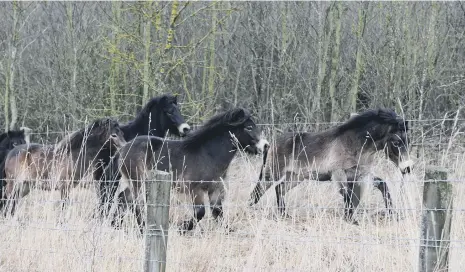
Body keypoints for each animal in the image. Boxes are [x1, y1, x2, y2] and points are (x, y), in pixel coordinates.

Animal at [107, 107, 270, 233]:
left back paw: (116, 225)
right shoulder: (195, 190)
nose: (266, 145)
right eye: (248, 127)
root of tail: (123, 149)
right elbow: (200, 212)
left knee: (123, 198)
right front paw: (182, 228)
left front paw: (227, 231)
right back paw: (142, 229)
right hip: (138, 182)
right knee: (136, 204)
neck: (208, 155)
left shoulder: (215, 190)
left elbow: (218, 212)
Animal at [248, 107, 412, 222]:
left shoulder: (361, 174)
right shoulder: (338, 173)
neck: (355, 144)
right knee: (258, 192)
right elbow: (347, 195)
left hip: (294, 177)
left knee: (279, 190)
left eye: (408, 141)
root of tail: (270, 144)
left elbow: (380, 186)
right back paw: (249, 209)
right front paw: (351, 219)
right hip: (271, 174)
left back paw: (284, 215)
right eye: (396, 142)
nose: (407, 168)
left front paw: (393, 214)